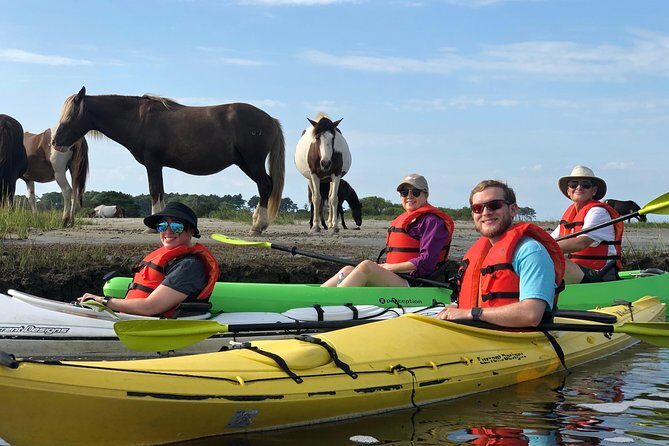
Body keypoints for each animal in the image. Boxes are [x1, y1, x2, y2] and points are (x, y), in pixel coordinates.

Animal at [52, 86, 285, 234]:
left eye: (71, 114)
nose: (55, 142)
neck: (139, 119)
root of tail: (271, 119)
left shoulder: (153, 163)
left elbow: (154, 190)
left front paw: (150, 227)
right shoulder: (158, 165)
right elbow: (161, 191)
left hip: (252, 162)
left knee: (265, 185)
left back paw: (257, 227)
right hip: (246, 163)